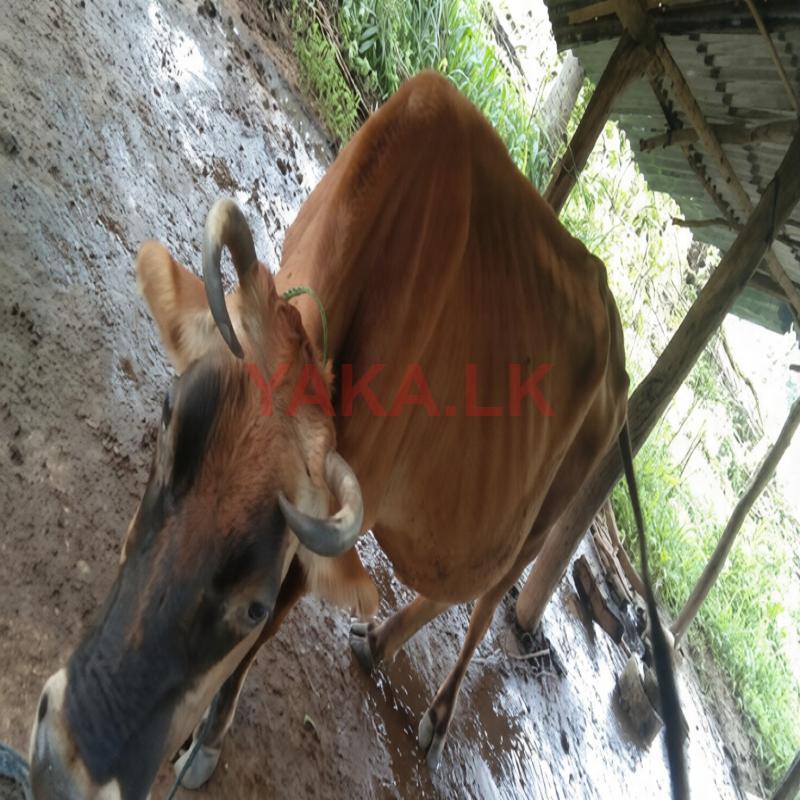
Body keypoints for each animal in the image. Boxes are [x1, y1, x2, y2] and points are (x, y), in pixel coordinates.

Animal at [29, 71, 684, 799]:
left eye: (252, 606)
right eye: (167, 423)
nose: (62, 768)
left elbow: (276, 623)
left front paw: (208, 737)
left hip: (546, 520)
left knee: (487, 601)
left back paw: (440, 712)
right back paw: (378, 643)